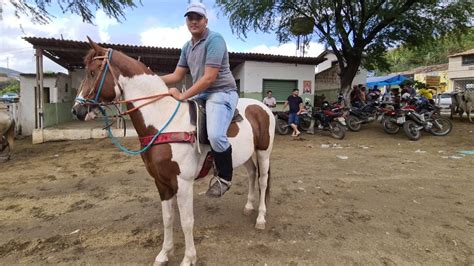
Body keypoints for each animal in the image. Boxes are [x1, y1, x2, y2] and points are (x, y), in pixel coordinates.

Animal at [72, 38, 276, 264]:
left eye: (92, 72)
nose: (76, 110)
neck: (163, 123)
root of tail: (262, 107)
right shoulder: (161, 182)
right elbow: (168, 218)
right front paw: (164, 253)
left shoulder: (183, 183)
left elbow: (187, 221)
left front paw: (188, 258)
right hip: (247, 155)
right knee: (251, 174)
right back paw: (249, 207)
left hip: (263, 152)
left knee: (262, 181)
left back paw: (260, 217)